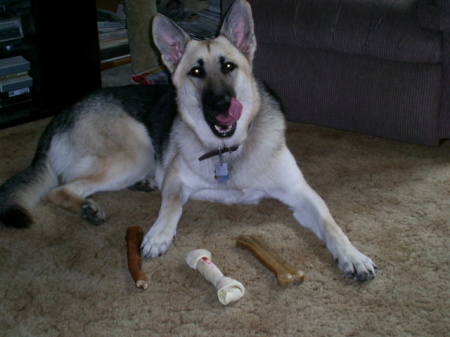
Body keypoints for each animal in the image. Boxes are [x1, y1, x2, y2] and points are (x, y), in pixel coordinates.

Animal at [0, 0, 376, 280]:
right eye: (196, 72)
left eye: (229, 67)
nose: (221, 106)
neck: (227, 150)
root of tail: (60, 116)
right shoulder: (177, 180)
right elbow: (171, 205)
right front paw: (158, 235)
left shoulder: (300, 193)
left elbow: (331, 224)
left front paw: (352, 255)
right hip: (135, 152)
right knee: (61, 190)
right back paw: (89, 207)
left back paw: (136, 187)